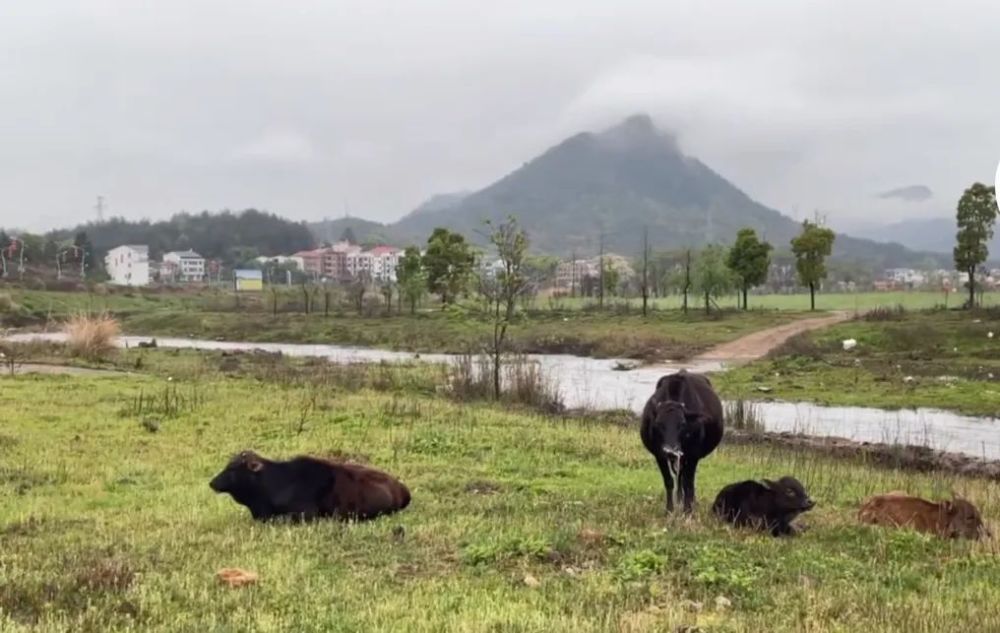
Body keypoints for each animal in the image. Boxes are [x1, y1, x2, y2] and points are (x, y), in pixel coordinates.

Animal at [644, 370, 724, 512]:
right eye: (658, 424)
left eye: (682, 424)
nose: (670, 451)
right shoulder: (659, 455)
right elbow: (669, 481)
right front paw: (669, 509)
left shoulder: (693, 456)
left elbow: (688, 483)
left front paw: (688, 510)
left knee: (686, 480)